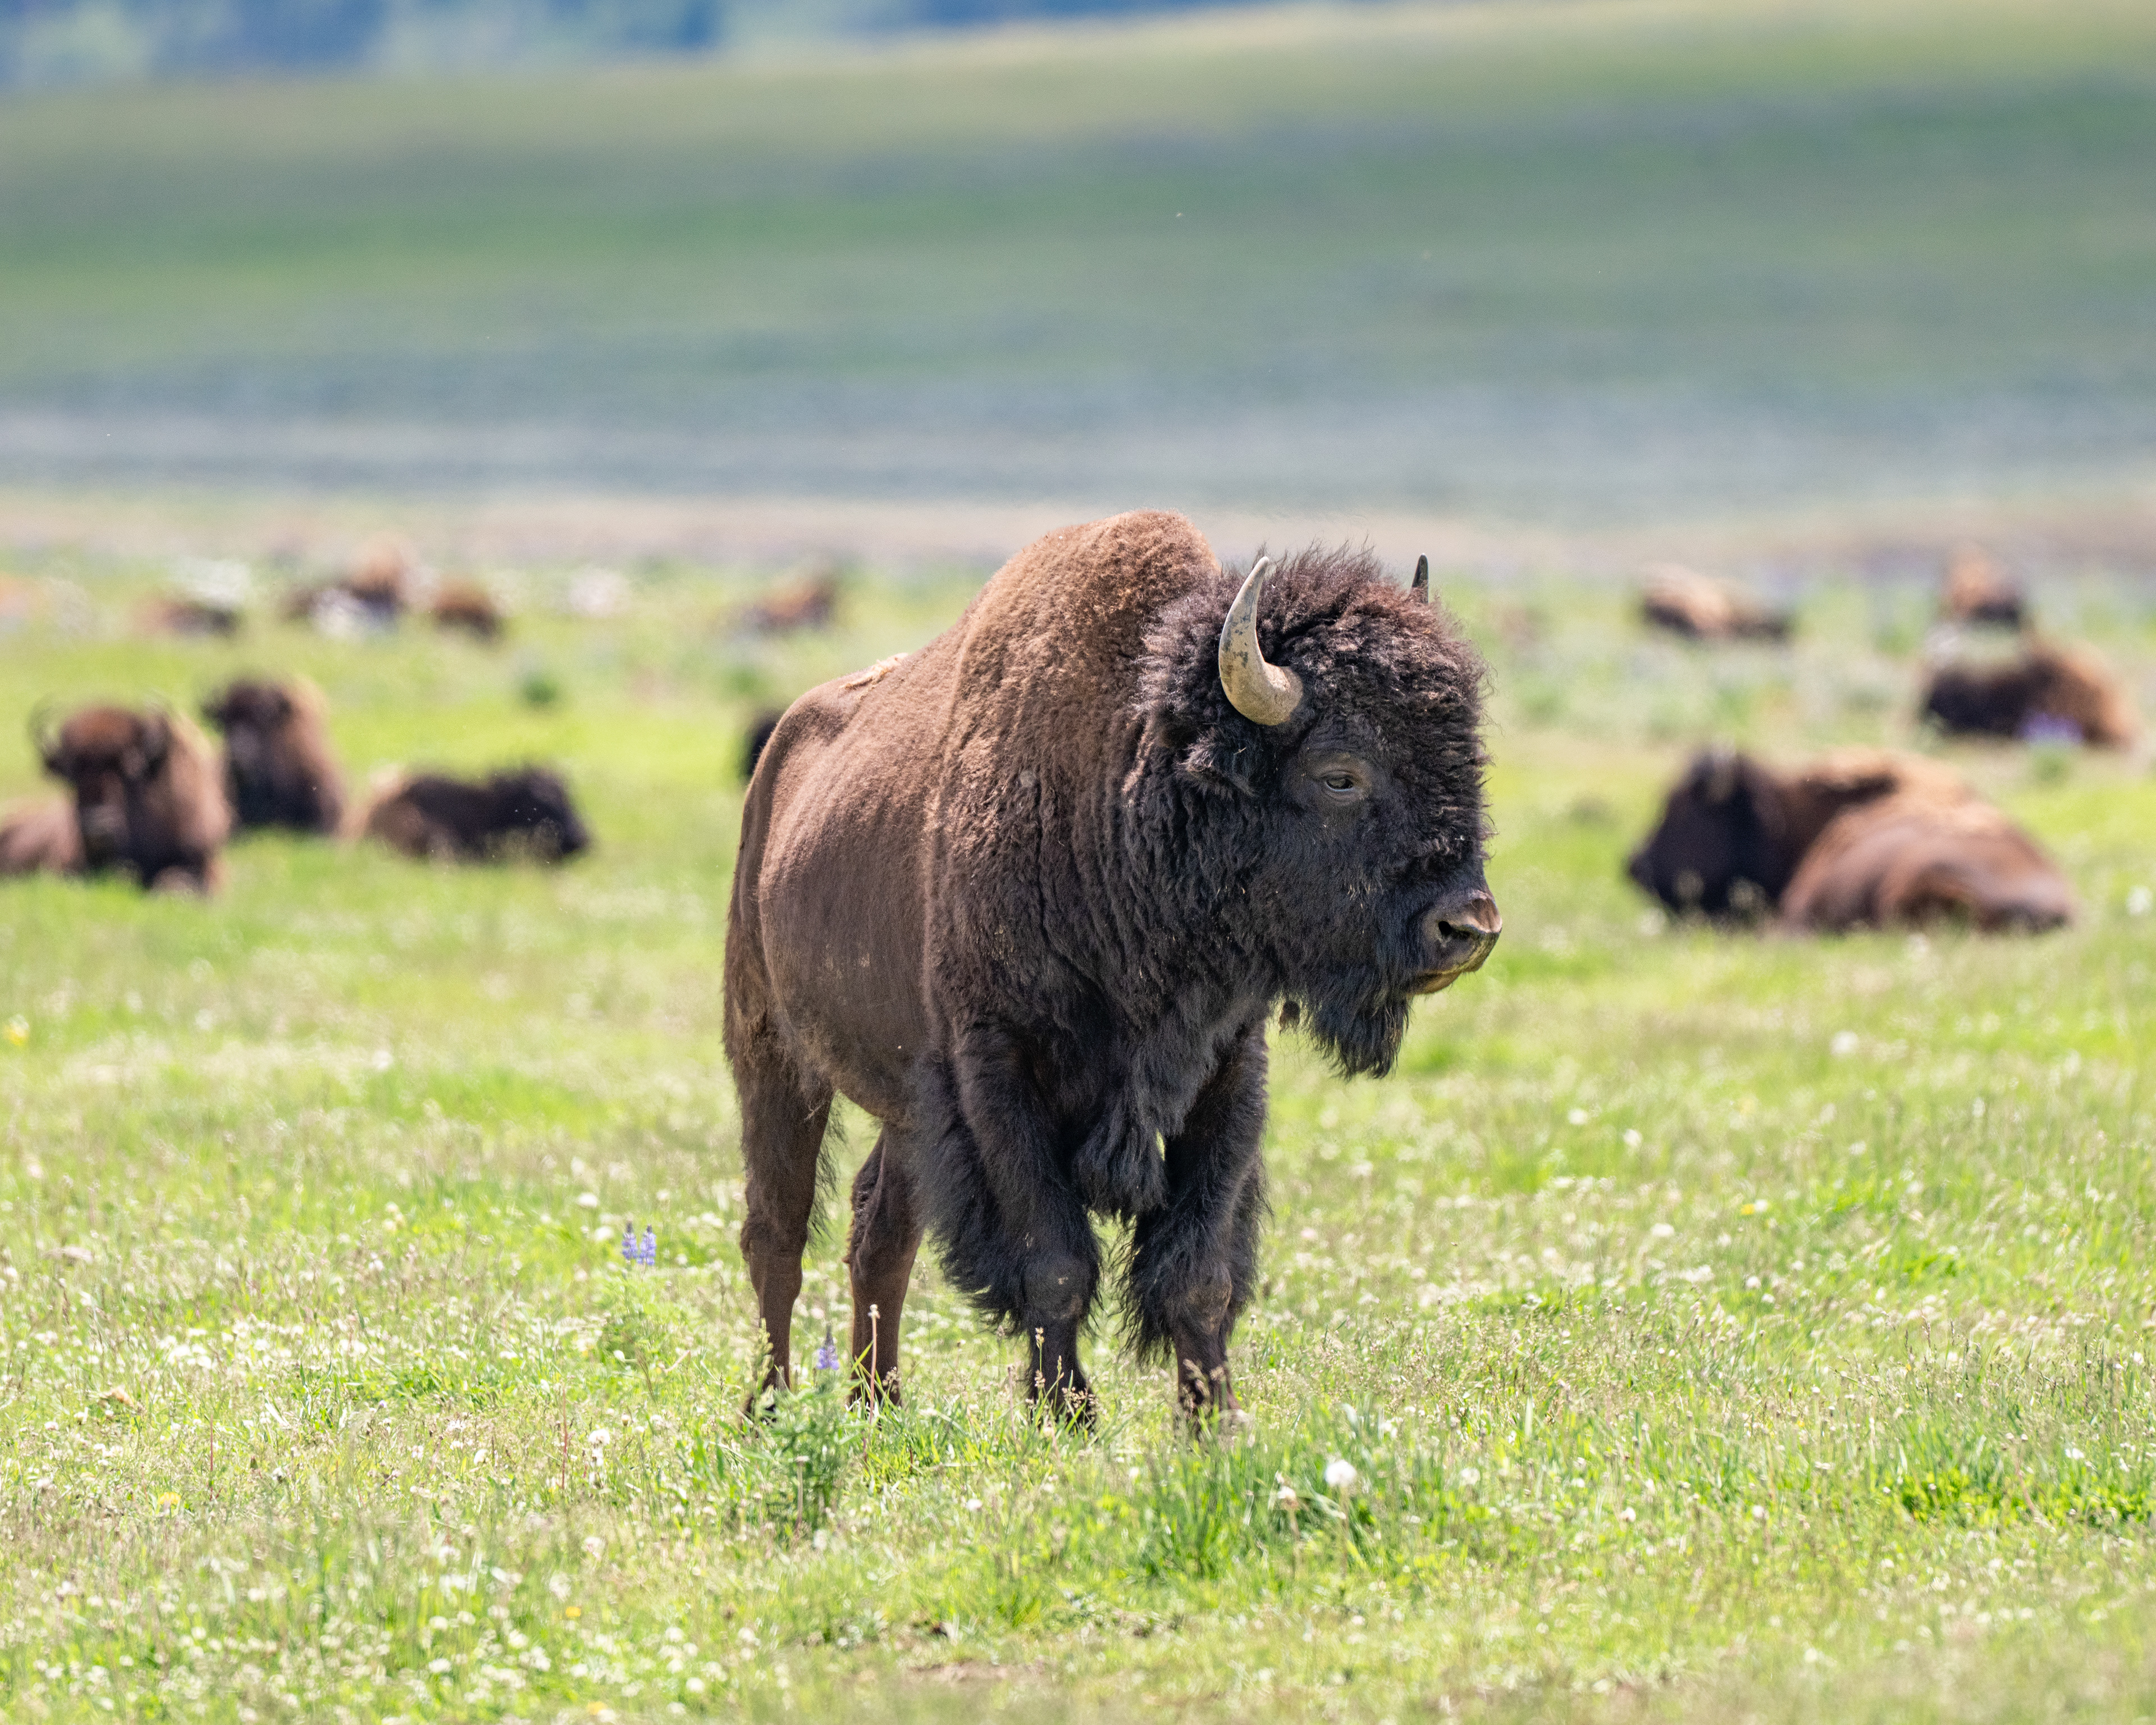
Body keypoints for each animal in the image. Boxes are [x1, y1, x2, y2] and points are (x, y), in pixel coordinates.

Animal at [728, 512, 1498, 1425]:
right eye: (1340, 774)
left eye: (1469, 762)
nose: (1469, 927)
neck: (1128, 795)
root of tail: (777, 763)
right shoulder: (998, 1073)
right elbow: (1053, 1263)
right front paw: (1068, 1417)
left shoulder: (1226, 1075)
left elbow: (1199, 1274)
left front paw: (1214, 1424)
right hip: (770, 1051)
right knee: (778, 1233)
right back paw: (770, 1406)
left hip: (907, 1104)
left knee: (879, 1229)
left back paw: (878, 1403)